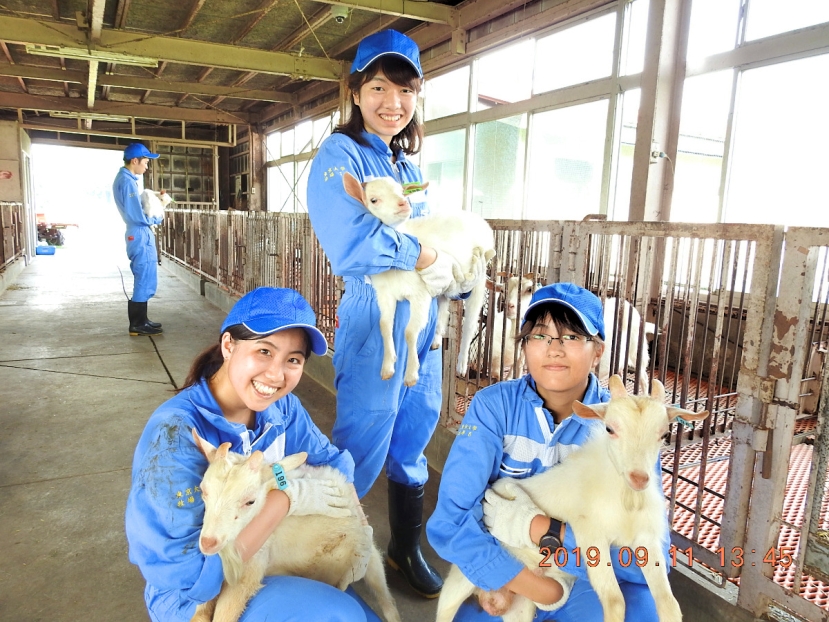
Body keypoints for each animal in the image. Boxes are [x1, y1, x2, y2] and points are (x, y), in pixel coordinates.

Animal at [188, 432, 402, 622]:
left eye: (250, 501)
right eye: (203, 490)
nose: (208, 542)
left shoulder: (253, 564)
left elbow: (227, 612)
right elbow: (202, 602)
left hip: (370, 557)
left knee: (387, 600)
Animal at [342, 174, 494, 386]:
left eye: (401, 191)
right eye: (373, 200)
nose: (404, 203)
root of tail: (479, 219)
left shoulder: (419, 295)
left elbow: (409, 332)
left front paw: (411, 374)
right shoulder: (384, 294)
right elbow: (384, 325)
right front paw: (388, 366)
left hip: (480, 273)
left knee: (471, 322)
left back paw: (462, 365)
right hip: (445, 285)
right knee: (443, 308)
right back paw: (437, 338)